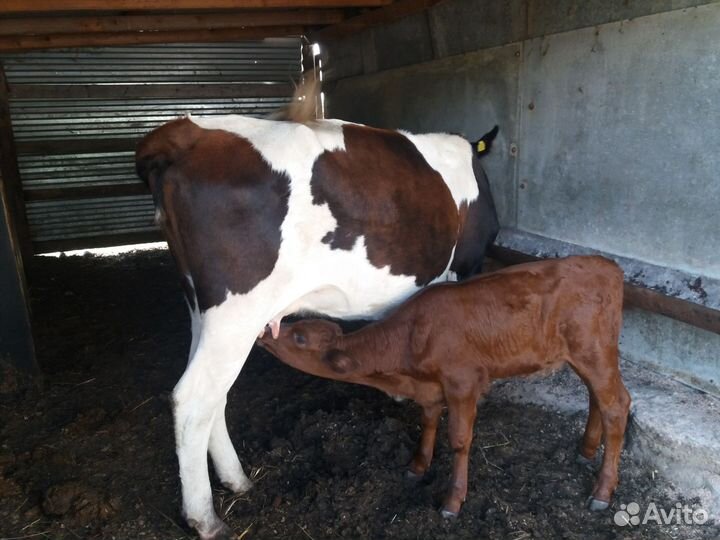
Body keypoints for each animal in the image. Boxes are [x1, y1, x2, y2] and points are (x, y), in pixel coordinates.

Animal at [135, 107, 500, 538]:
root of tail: (187, 132)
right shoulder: (464, 269)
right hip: (235, 312)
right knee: (192, 399)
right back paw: (205, 518)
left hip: (202, 308)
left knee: (214, 396)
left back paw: (237, 479)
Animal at [258, 256, 631, 518]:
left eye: (299, 337)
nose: (263, 332)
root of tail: (606, 265)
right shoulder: (430, 389)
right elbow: (427, 422)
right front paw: (417, 466)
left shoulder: (462, 382)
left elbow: (459, 440)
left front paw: (453, 501)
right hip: (585, 357)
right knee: (598, 398)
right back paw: (585, 450)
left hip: (593, 351)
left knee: (617, 405)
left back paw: (602, 491)